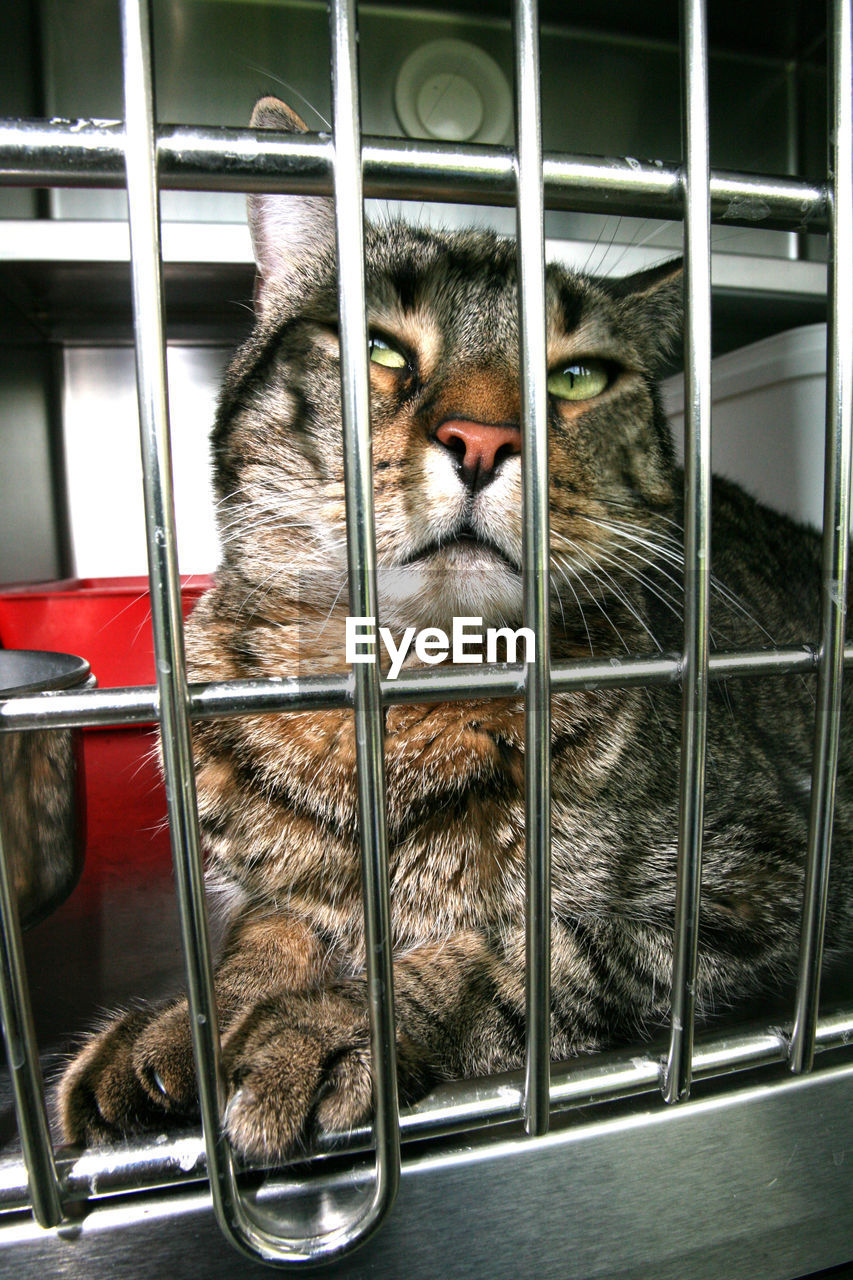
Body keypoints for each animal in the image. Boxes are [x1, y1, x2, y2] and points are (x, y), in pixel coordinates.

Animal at [58, 97, 850, 1162]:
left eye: (578, 378)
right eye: (381, 349)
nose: (482, 440)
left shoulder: (760, 887)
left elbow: (526, 952)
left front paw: (331, 1026)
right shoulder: (268, 887)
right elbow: (264, 933)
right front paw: (191, 1023)